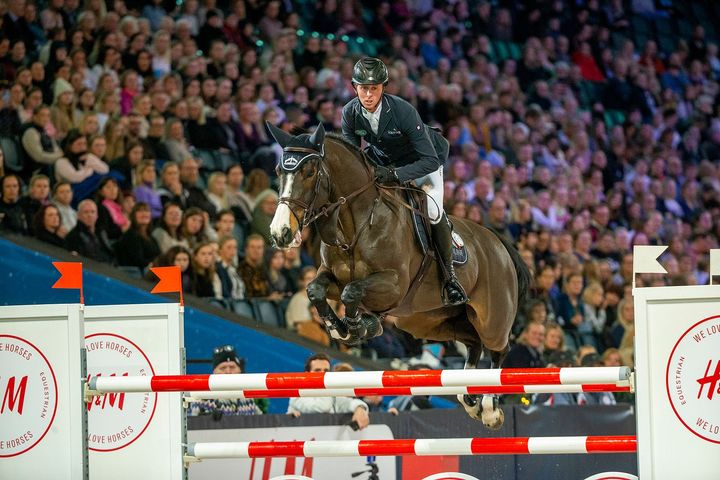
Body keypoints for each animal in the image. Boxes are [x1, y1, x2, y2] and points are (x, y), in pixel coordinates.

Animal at [266, 123, 531, 429]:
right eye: (278, 170)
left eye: (309, 172)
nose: (280, 233)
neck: (355, 223)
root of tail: (498, 242)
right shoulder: (330, 275)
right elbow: (316, 290)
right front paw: (342, 327)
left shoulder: (393, 285)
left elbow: (352, 291)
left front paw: (359, 326)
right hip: (428, 320)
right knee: (473, 343)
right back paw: (470, 400)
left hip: (491, 318)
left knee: (498, 348)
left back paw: (489, 408)